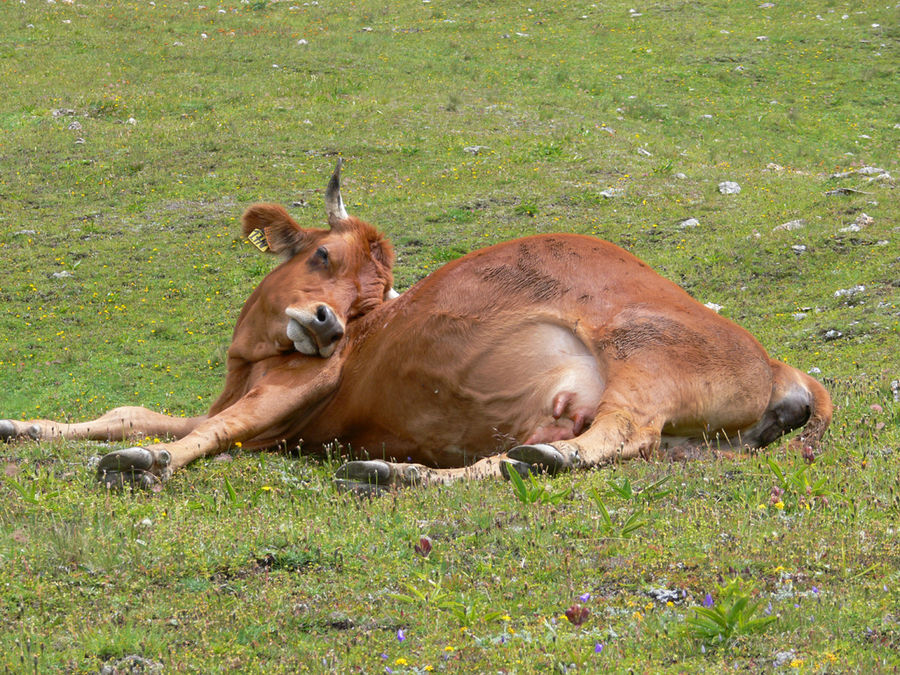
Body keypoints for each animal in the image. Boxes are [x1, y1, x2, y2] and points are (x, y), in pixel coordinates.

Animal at [0, 160, 832, 494]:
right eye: (322, 254)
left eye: (367, 300)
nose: (329, 324)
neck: (249, 361)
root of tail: (784, 366)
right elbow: (129, 409)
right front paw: (22, 424)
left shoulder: (284, 402)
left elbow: (199, 431)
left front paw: (149, 462)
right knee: (525, 458)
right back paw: (395, 471)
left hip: (643, 354)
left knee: (614, 437)